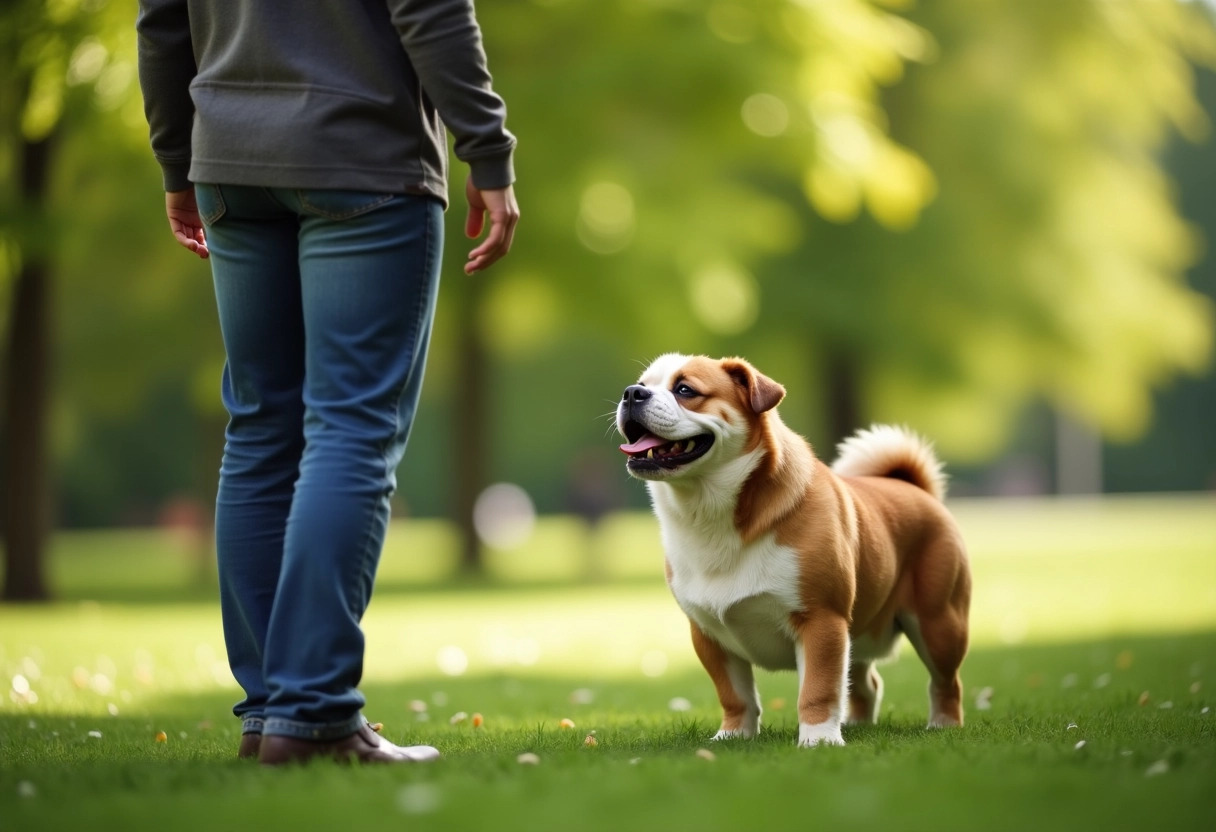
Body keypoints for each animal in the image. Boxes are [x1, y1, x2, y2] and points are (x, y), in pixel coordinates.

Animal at [617, 350, 967, 749]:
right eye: (641, 384)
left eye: (685, 390)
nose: (631, 394)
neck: (709, 515)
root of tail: (916, 488)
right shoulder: (708, 634)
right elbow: (734, 695)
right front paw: (733, 735)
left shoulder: (821, 621)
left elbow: (818, 689)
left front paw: (819, 740)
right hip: (860, 637)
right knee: (866, 682)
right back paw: (859, 724)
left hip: (939, 625)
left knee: (946, 682)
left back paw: (943, 724)